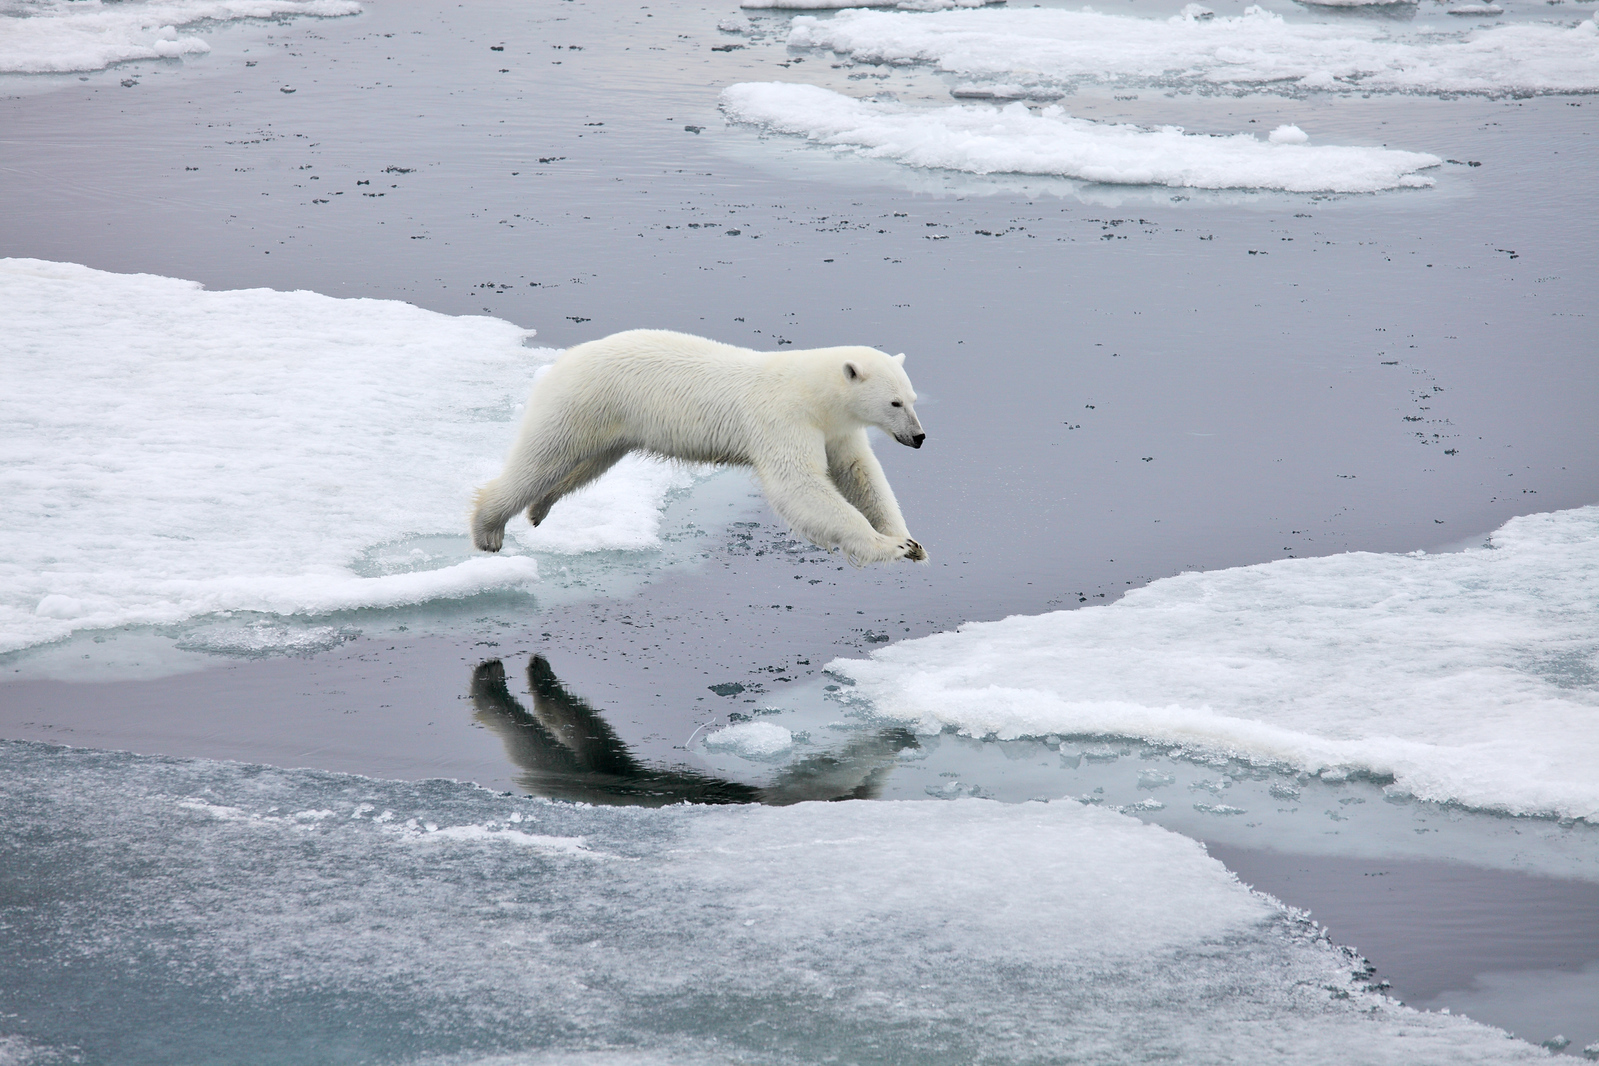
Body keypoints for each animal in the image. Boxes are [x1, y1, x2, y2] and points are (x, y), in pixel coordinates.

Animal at [471, 329, 927, 565]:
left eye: (913, 398)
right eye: (894, 403)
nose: (919, 437)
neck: (813, 392)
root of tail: (563, 359)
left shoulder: (835, 429)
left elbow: (859, 473)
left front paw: (911, 542)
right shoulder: (784, 419)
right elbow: (799, 485)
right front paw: (888, 546)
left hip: (611, 425)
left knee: (584, 466)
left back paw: (539, 508)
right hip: (581, 403)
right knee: (541, 458)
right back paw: (488, 529)